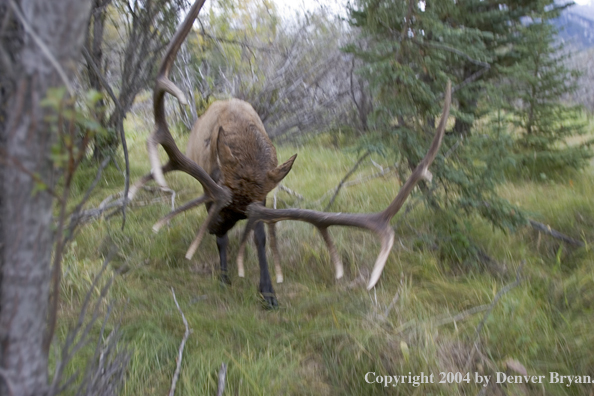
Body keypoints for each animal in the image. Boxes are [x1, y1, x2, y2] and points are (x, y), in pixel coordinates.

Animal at [128, 0, 448, 310]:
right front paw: (225, 276)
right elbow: (229, 237)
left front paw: (268, 292)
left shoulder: (260, 198)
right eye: (224, 204)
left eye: (237, 213)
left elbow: (260, 238)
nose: (213, 229)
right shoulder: (211, 190)